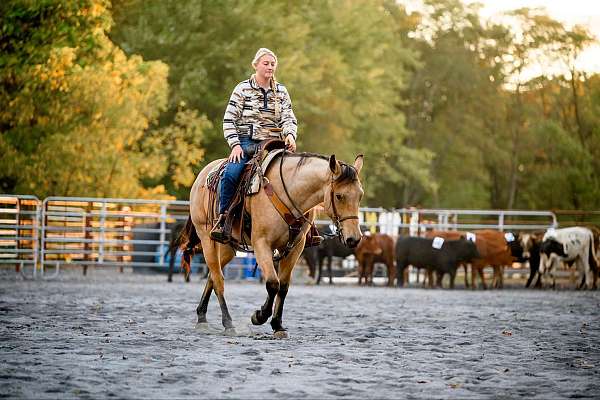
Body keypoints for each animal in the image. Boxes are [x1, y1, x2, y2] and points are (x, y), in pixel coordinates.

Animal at [175, 152, 360, 338]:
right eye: (339, 196)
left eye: (360, 194)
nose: (354, 238)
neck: (288, 194)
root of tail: (202, 176)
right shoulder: (261, 244)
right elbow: (272, 283)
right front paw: (259, 316)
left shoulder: (295, 248)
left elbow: (283, 287)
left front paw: (278, 325)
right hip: (207, 239)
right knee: (218, 280)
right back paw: (227, 323)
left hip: (228, 247)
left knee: (212, 275)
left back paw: (202, 317)